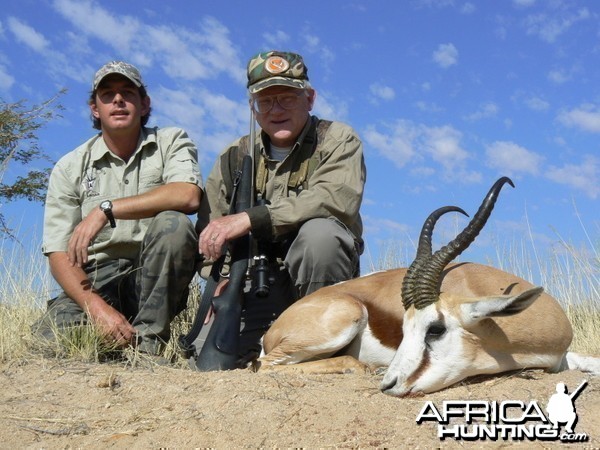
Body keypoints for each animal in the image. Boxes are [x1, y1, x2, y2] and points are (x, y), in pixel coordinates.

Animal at [255, 178, 600, 396]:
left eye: (435, 329)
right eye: (402, 329)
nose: (390, 384)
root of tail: (271, 331)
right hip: (347, 316)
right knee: (265, 366)